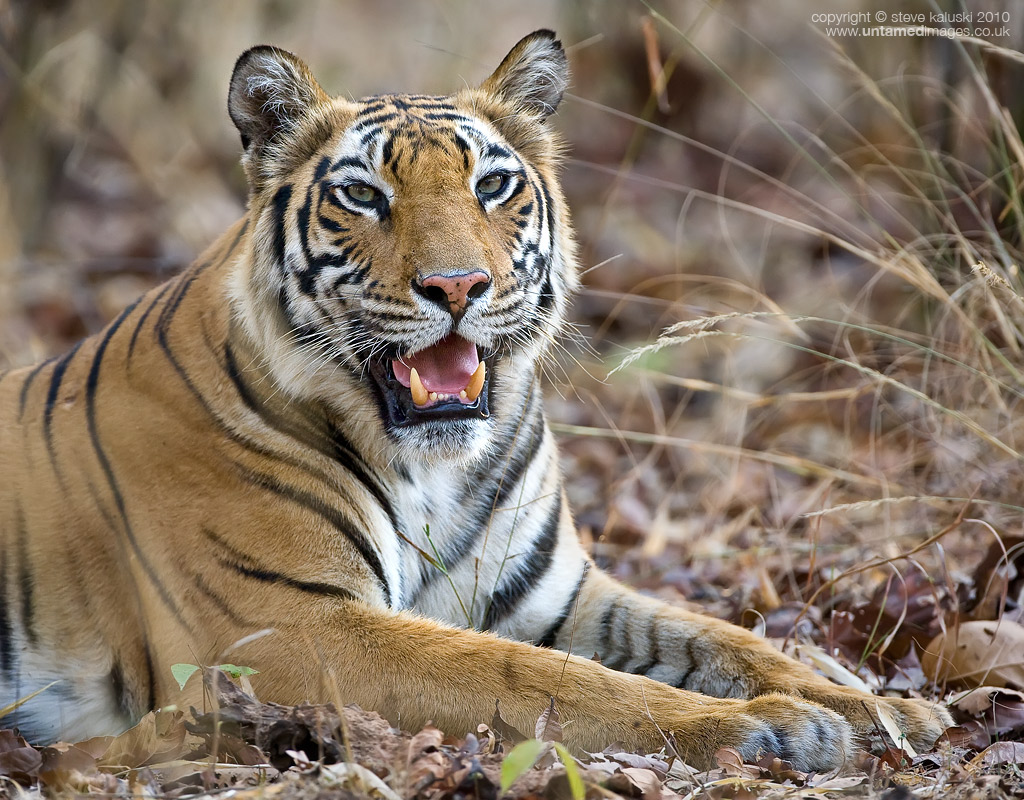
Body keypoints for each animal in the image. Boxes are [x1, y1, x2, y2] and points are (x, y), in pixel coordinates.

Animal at [0, 31, 951, 771]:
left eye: (491, 186)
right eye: (362, 195)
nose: (457, 285)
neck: (434, 469)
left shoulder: (557, 594)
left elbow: (725, 637)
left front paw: (883, 709)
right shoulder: (287, 629)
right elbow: (535, 679)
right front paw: (772, 729)